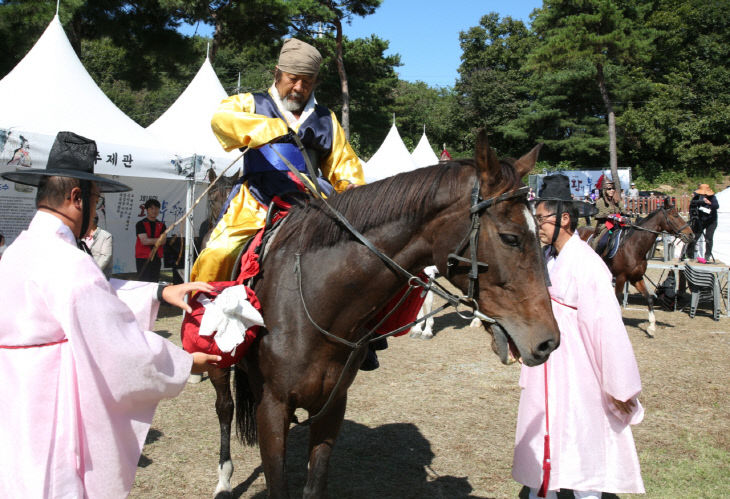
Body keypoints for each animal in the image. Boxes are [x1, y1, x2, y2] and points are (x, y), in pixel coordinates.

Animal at [576, 198, 692, 336]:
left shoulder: (636, 278)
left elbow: (649, 298)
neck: (634, 247)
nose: (691, 235)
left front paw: (651, 327)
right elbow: (618, 300)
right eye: (675, 215)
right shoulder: (621, 278)